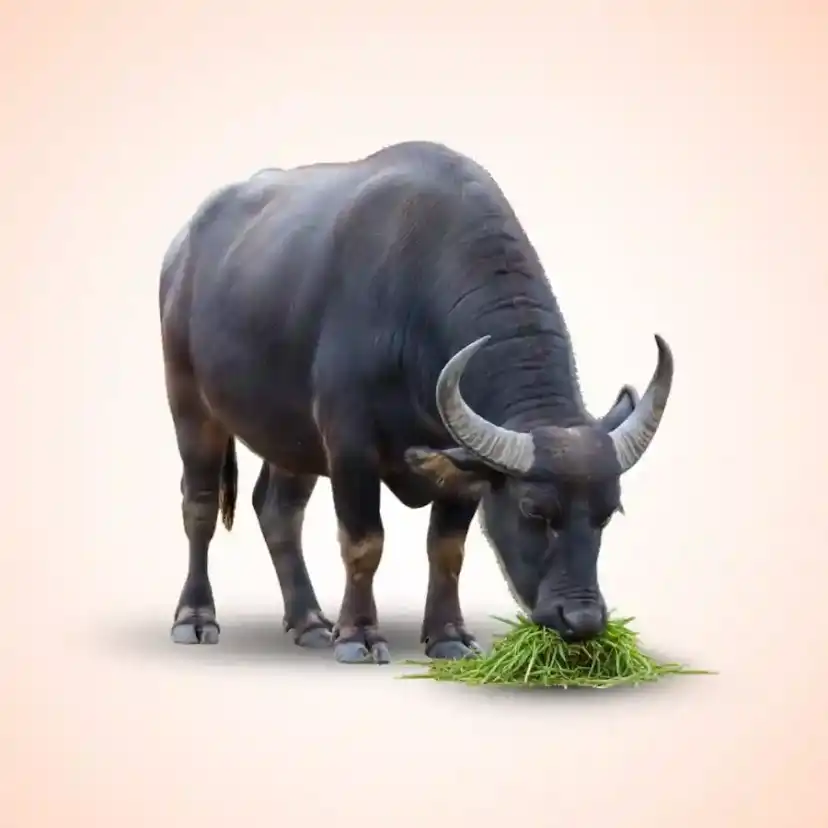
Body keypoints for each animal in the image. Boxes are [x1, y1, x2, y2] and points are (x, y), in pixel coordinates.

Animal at [158, 140, 673, 664]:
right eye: (534, 511)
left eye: (608, 513)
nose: (583, 620)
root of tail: (181, 251)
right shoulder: (349, 446)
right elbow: (365, 542)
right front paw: (359, 634)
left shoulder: (460, 467)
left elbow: (447, 550)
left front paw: (448, 635)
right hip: (190, 403)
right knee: (199, 504)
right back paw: (196, 617)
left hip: (291, 435)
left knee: (278, 511)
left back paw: (309, 621)